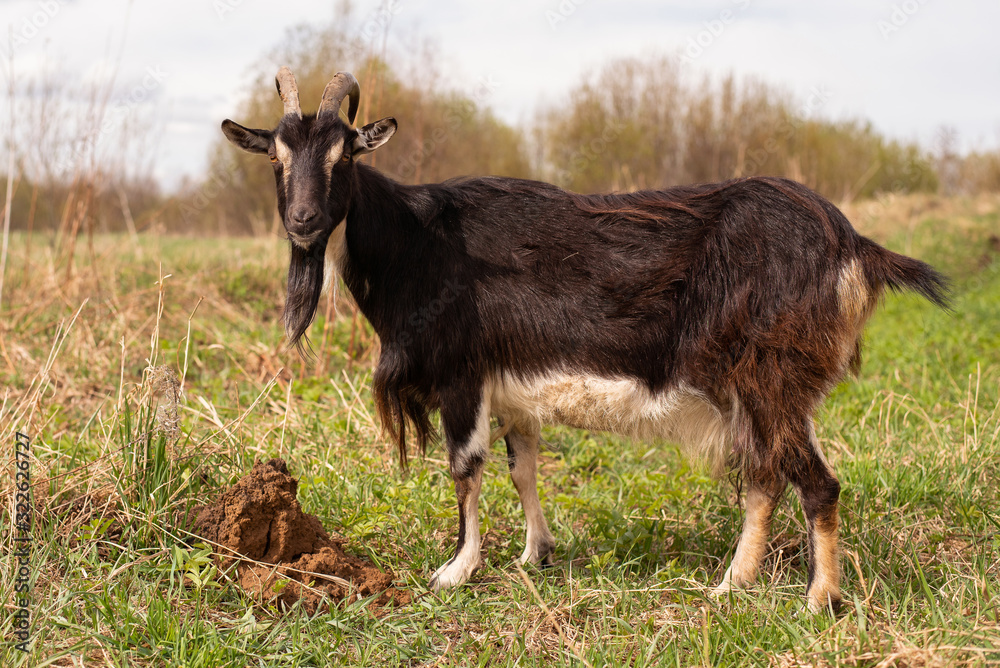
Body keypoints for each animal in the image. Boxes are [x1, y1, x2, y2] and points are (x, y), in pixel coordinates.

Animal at [222, 68, 948, 612]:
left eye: (344, 152)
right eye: (277, 157)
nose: (303, 221)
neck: (415, 242)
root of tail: (852, 244)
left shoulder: (462, 374)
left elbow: (465, 468)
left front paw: (456, 569)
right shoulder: (512, 389)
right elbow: (522, 467)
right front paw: (534, 554)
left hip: (772, 378)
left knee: (816, 482)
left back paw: (819, 599)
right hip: (758, 390)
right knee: (765, 477)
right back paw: (731, 584)